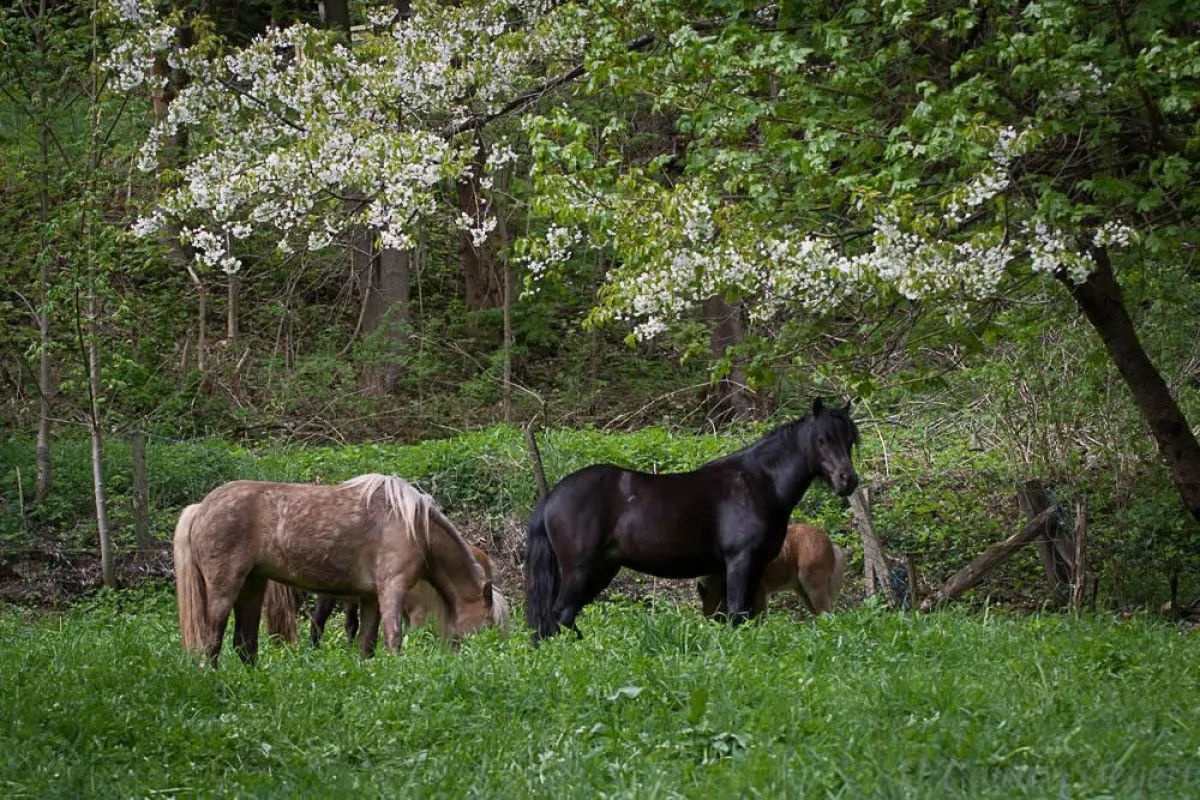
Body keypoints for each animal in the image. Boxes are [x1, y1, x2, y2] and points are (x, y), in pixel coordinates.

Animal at [172, 473, 504, 666]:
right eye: (489, 623)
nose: (487, 657)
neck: (415, 526)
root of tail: (201, 508)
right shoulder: (392, 589)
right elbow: (393, 638)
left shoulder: (371, 598)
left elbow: (367, 644)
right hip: (225, 587)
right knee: (212, 638)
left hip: (253, 586)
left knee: (245, 644)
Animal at [696, 523, 847, 619]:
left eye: (717, 616)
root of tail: (831, 544)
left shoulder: (760, 591)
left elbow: (759, 618)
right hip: (803, 591)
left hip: (812, 585)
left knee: (827, 613)